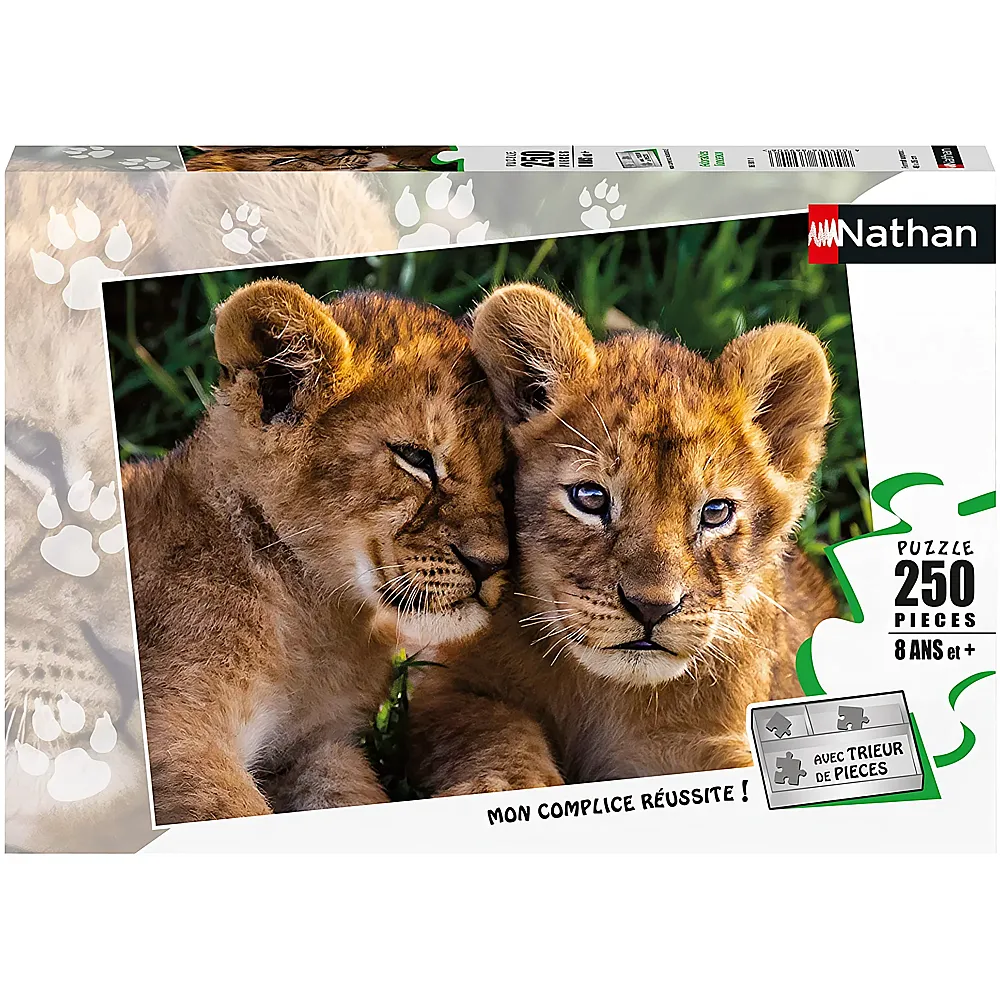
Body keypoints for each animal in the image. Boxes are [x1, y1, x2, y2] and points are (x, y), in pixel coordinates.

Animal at [122, 280, 508, 823]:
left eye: (502, 476)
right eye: (415, 457)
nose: (491, 564)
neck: (315, 616)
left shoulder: (317, 744)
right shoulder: (174, 733)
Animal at [407, 283, 839, 794]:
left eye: (715, 513)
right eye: (591, 497)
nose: (651, 608)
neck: (605, 691)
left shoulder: (716, 741)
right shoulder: (436, 686)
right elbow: (496, 728)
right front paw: (504, 788)